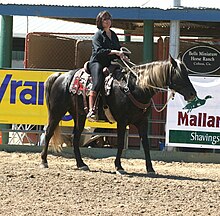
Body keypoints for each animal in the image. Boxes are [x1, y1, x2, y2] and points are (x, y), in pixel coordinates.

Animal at [40, 55, 197, 174]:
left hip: (79, 115)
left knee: (76, 137)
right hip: (57, 112)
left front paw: (150, 168)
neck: (135, 87)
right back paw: (44, 161)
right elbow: (121, 143)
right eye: (179, 75)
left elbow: (145, 144)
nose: (192, 94)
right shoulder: (122, 121)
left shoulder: (142, 122)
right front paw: (119, 166)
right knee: (48, 133)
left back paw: (81, 164)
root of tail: (61, 76)